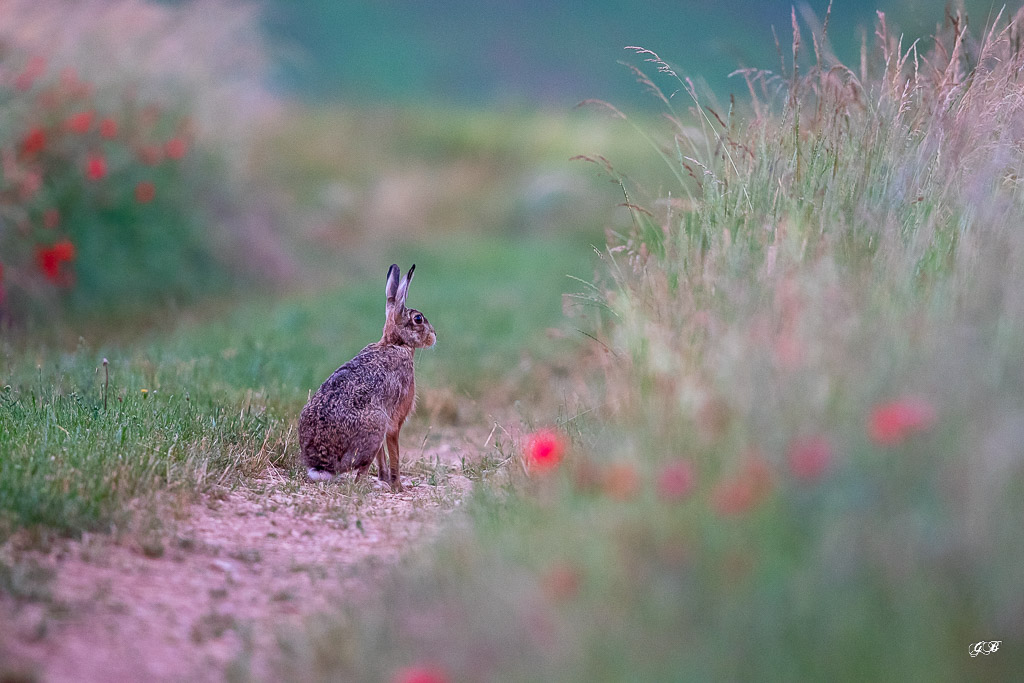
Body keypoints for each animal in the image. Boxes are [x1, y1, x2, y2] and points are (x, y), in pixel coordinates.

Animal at [300, 264, 436, 491]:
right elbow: (394, 453)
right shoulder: (393, 421)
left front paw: (383, 478)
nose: (434, 336)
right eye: (418, 319)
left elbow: (382, 457)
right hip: (375, 427)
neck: (395, 343)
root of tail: (322, 464)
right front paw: (397, 486)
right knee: (359, 475)